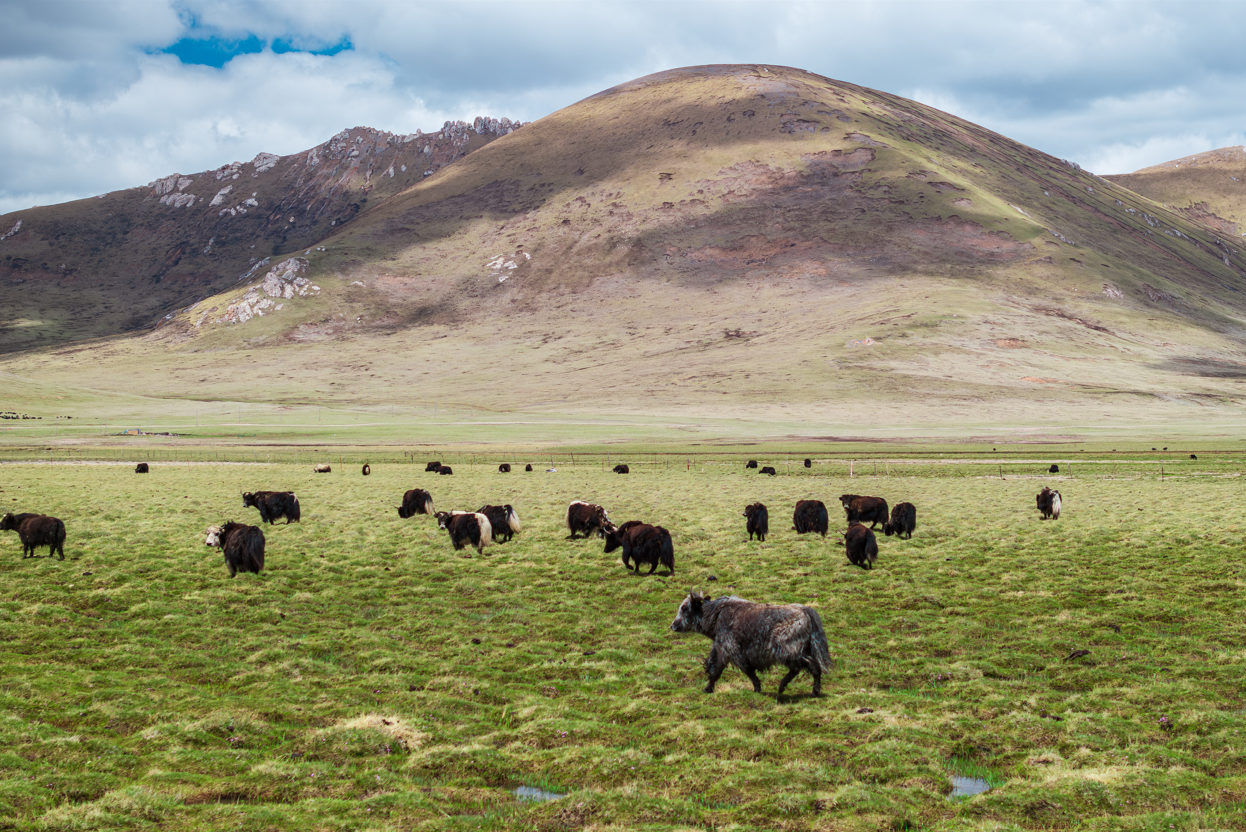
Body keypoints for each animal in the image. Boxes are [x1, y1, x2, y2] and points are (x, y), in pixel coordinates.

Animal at [670, 592, 833, 696]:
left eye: (684, 608)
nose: (672, 626)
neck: (716, 616)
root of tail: (806, 612)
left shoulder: (733, 649)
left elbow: (746, 669)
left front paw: (757, 688)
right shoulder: (721, 650)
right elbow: (715, 670)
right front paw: (707, 689)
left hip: (787, 650)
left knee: (807, 665)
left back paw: (794, 688)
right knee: (806, 666)